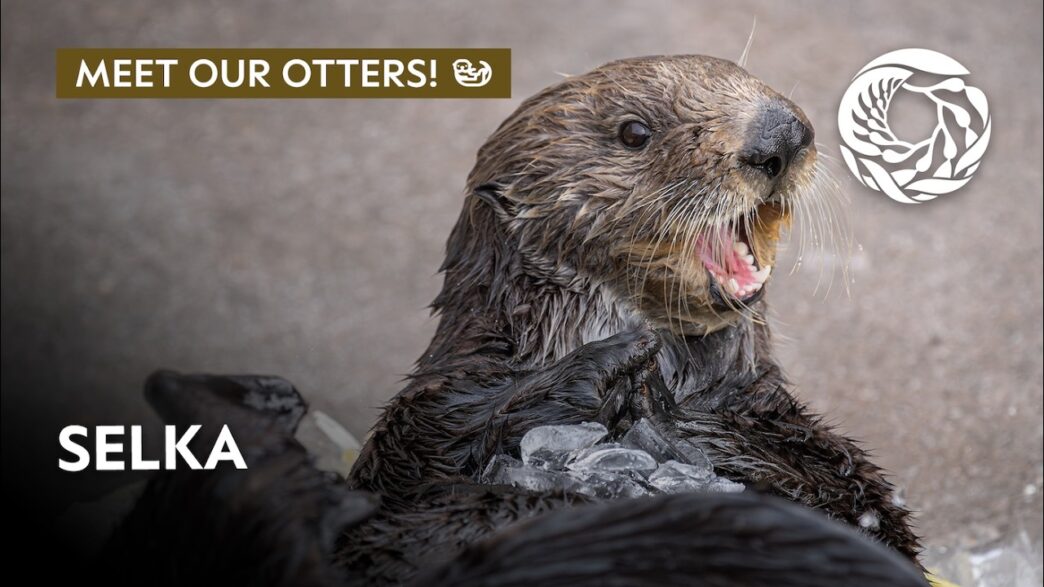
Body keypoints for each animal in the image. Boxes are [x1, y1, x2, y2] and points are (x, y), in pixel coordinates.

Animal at [100, 55, 925, 586]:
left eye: (758, 87)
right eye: (635, 132)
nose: (780, 136)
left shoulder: (785, 433)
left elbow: (860, 499)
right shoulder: (432, 416)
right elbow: (427, 461)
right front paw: (614, 362)